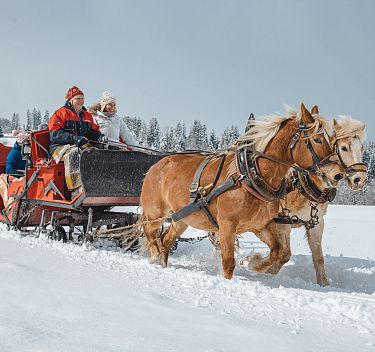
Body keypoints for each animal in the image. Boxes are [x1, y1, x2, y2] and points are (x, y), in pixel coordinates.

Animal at [140, 103, 346, 280]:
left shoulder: (261, 225)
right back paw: (154, 257)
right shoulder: (227, 226)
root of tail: (155, 166)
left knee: (165, 240)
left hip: (181, 218)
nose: (338, 174)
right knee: (151, 234)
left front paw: (251, 263)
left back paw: (162, 264)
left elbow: (280, 253)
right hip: (155, 213)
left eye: (331, 140)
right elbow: (228, 263)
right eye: (317, 139)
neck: (251, 175)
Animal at [241, 108, 368, 286]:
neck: (302, 183)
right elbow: (283, 254)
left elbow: (318, 257)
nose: (360, 179)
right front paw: (252, 262)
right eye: (343, 148)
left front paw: (324, 284)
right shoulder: (281, 222)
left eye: (362, 148)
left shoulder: (316, 223)